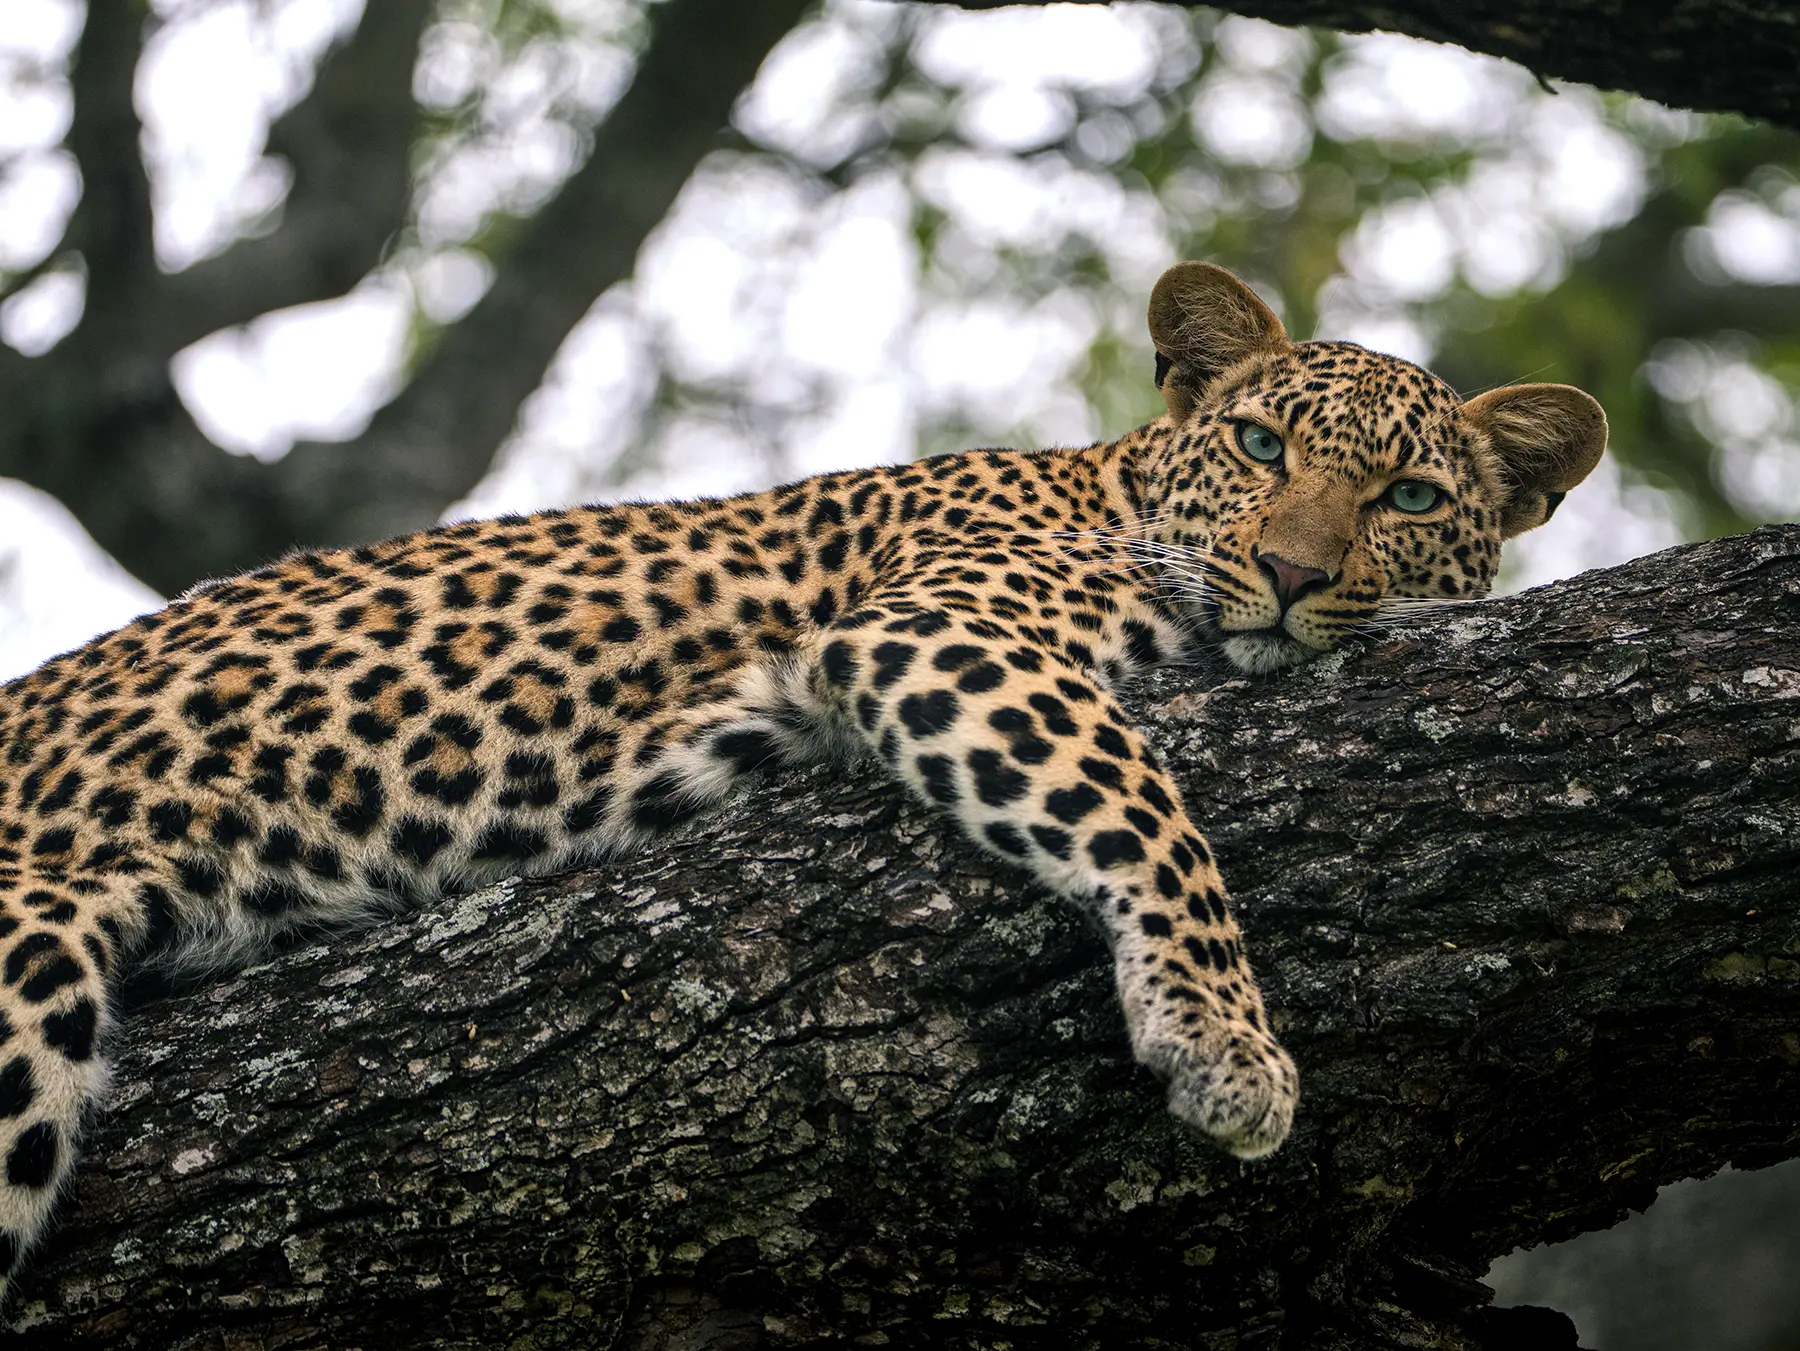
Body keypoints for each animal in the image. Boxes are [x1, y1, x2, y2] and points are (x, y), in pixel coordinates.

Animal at [0, 262, 1605, 1300]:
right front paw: (1224, 1040)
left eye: (1409, 497)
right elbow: (1147, 803)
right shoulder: (932, 624)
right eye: (1262, 444)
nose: (1292, 574)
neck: (1117, 485)